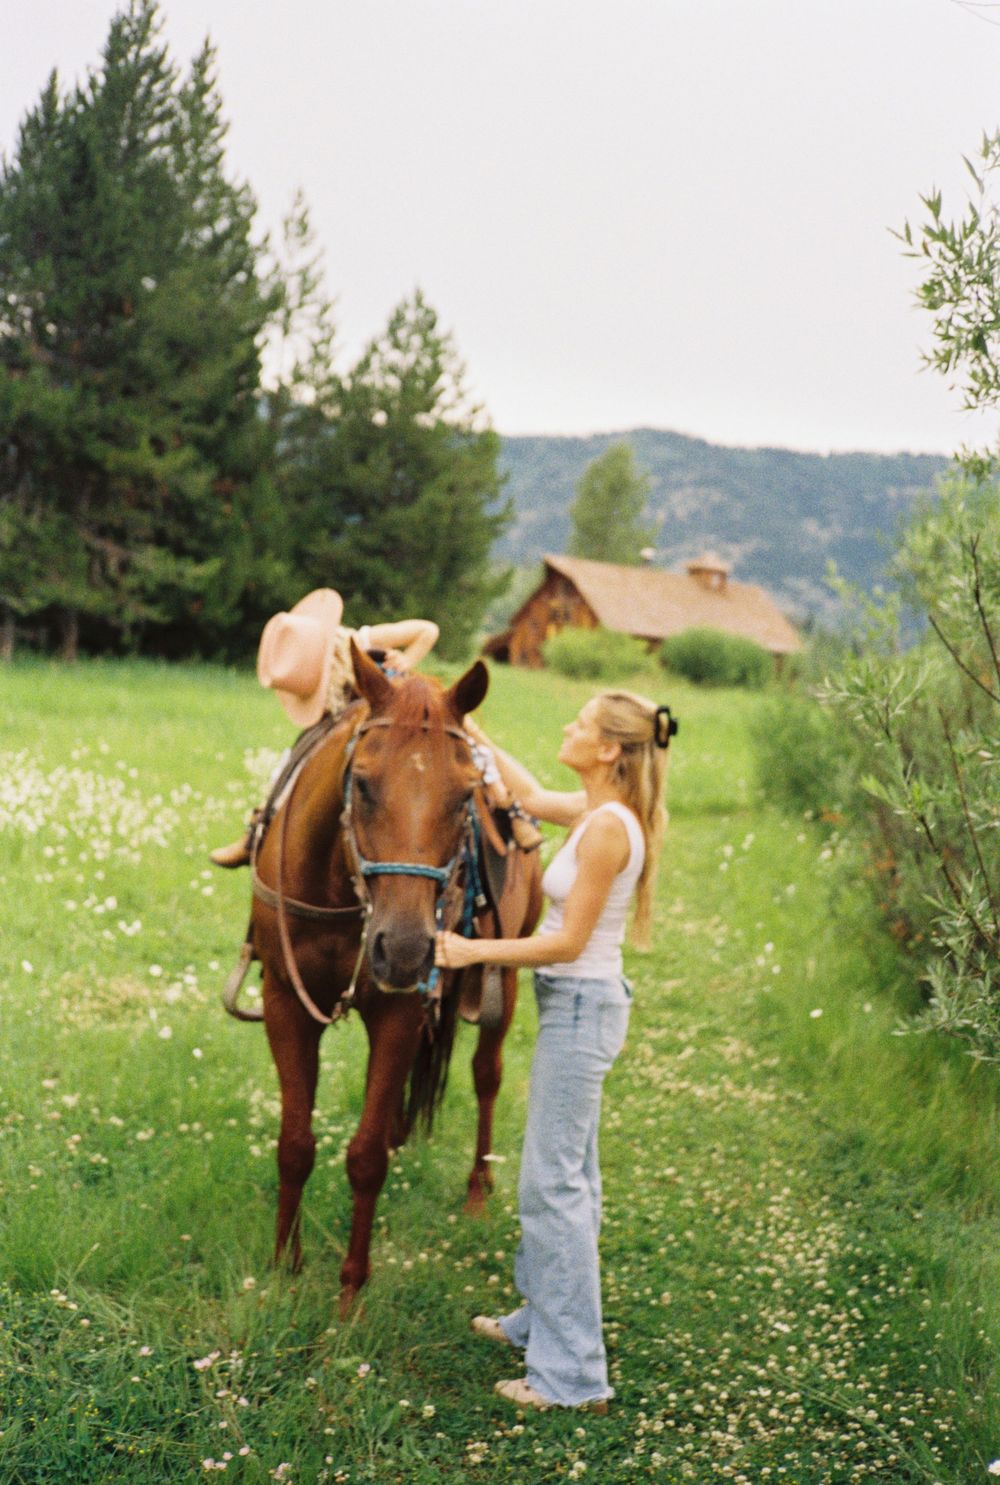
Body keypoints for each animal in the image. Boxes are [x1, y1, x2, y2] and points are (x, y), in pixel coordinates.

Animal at [245, 641, 542, 1312]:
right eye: (362, 781)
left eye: (464, 796)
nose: (405, 950)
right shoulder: (285, 1003)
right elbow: (294, 1144)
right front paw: (281, 1269)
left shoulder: (398, 1010)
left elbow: (364, 1159)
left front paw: (350, 1293)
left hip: (503, 979)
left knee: (486, 1075)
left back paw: (477, 1189)